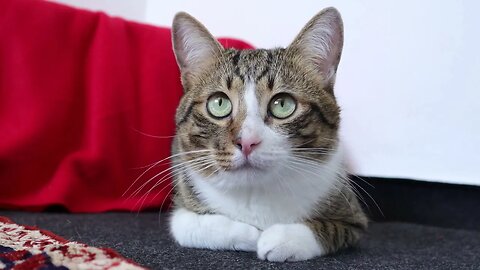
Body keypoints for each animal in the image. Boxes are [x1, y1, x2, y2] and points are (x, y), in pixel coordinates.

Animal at [167, 7, 366, 262]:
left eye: (283, 105)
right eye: (219, 103)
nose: (247, 142)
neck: (256, 191)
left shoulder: (353, 216)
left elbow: (329, 228)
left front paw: (279, 239)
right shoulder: (184, 203)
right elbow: (190, 225)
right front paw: (250, 235)